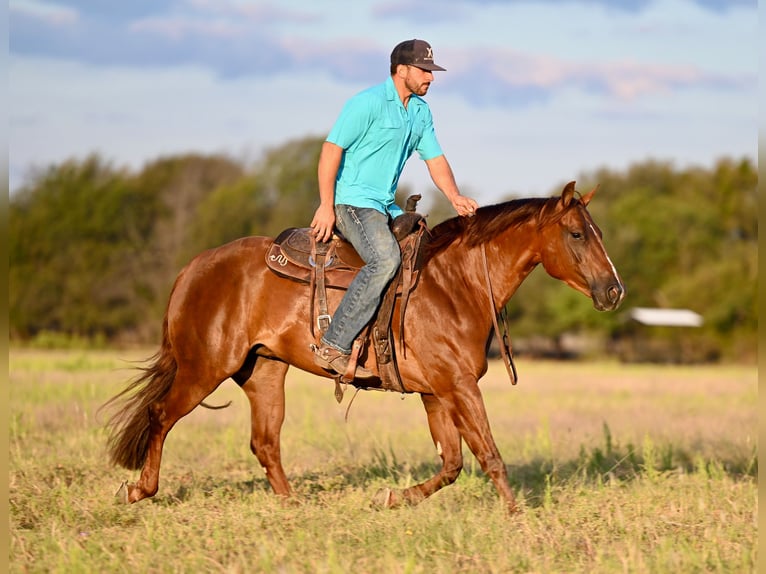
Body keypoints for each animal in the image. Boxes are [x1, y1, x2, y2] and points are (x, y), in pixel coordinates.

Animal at [105, 182, 628, 516]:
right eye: (577, 233)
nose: (614, 291)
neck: (453, 284)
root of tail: (194, 267)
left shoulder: (436, 392)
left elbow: (453, 463)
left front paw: (392, 498)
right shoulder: (458, 387)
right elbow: (489, 455)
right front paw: (517, 517)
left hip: (265, 372)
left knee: (265, 442)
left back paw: (294, 508)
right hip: (203, 368)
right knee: (160, 415)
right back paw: (139, 491)